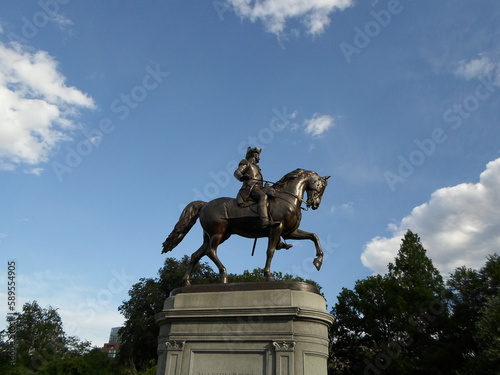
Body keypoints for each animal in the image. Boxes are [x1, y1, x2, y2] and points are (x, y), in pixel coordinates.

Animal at [162, 168, 330, 284]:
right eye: (321, 186)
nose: (315, 204)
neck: (287, 197)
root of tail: (204, 205)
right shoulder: (277, 228)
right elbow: (270, 251)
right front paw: (268, 275)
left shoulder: (289, 232)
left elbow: (314, 236)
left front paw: (318, 261)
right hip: (218, 233)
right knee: (211, 251)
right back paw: (224, 275)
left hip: (214, 235)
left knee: (196, 255)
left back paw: (187, 282)